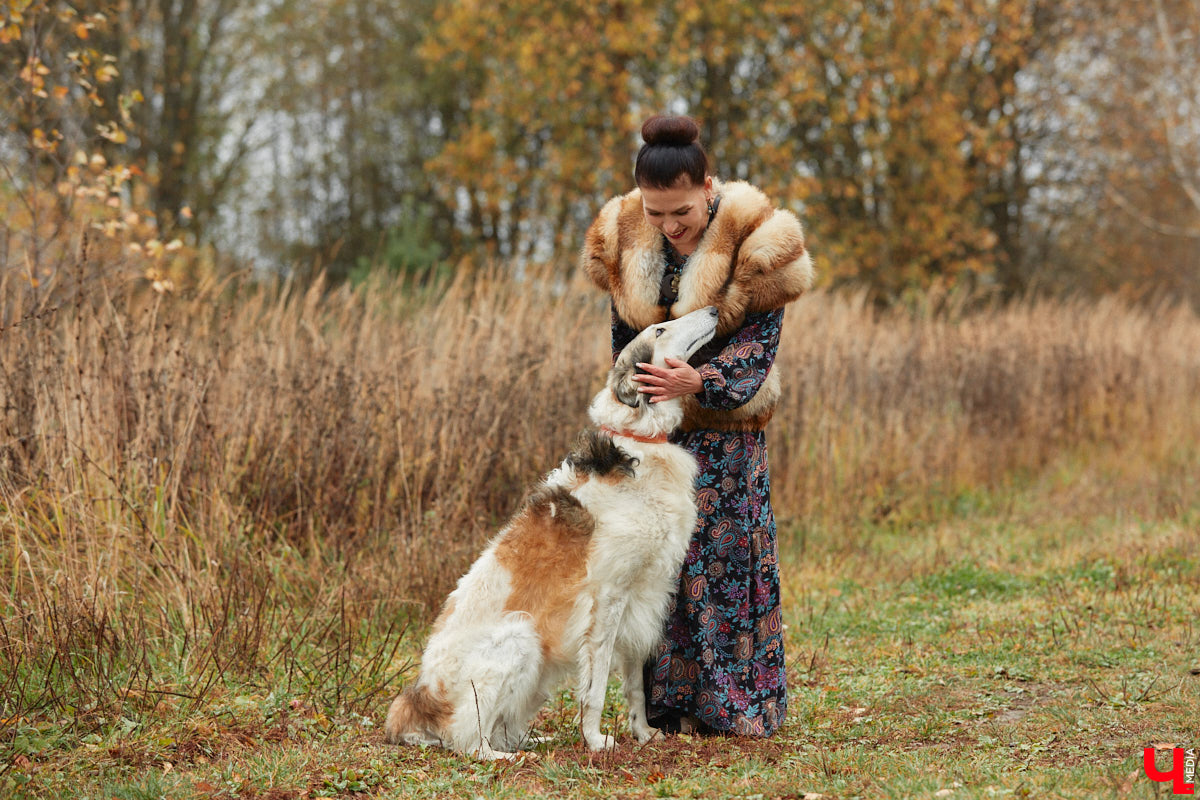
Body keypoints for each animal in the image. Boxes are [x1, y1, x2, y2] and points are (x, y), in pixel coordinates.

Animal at [386, 304, 720, 758]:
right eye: (660, 328)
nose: (715, 308)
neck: (638, 443)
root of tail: (416, 702)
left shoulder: (640, 597)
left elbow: (635, 684)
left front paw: (644, 733)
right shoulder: (607, 599)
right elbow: (595, 689)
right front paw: (596, 741)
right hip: (520, 637)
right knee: (469, 741)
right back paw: (508, 757)